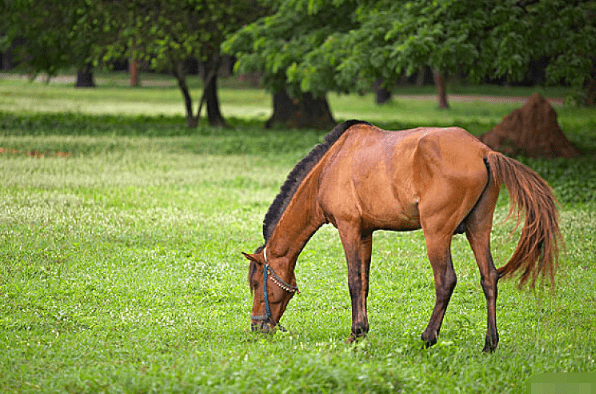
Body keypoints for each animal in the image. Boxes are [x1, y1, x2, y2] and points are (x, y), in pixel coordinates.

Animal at [243, 119, 564, 350]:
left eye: (256, 283)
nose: (258, 326)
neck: (330, 166)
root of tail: (484, 152)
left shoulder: (348, 229)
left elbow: (353, 281)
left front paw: (354, 333)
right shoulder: (365, 233)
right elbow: (365, 283)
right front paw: (362, 331)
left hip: (436, 232)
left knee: (445, 280)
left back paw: (429, 337)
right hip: (478, 227)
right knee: (489, 278)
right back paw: (489, 344)